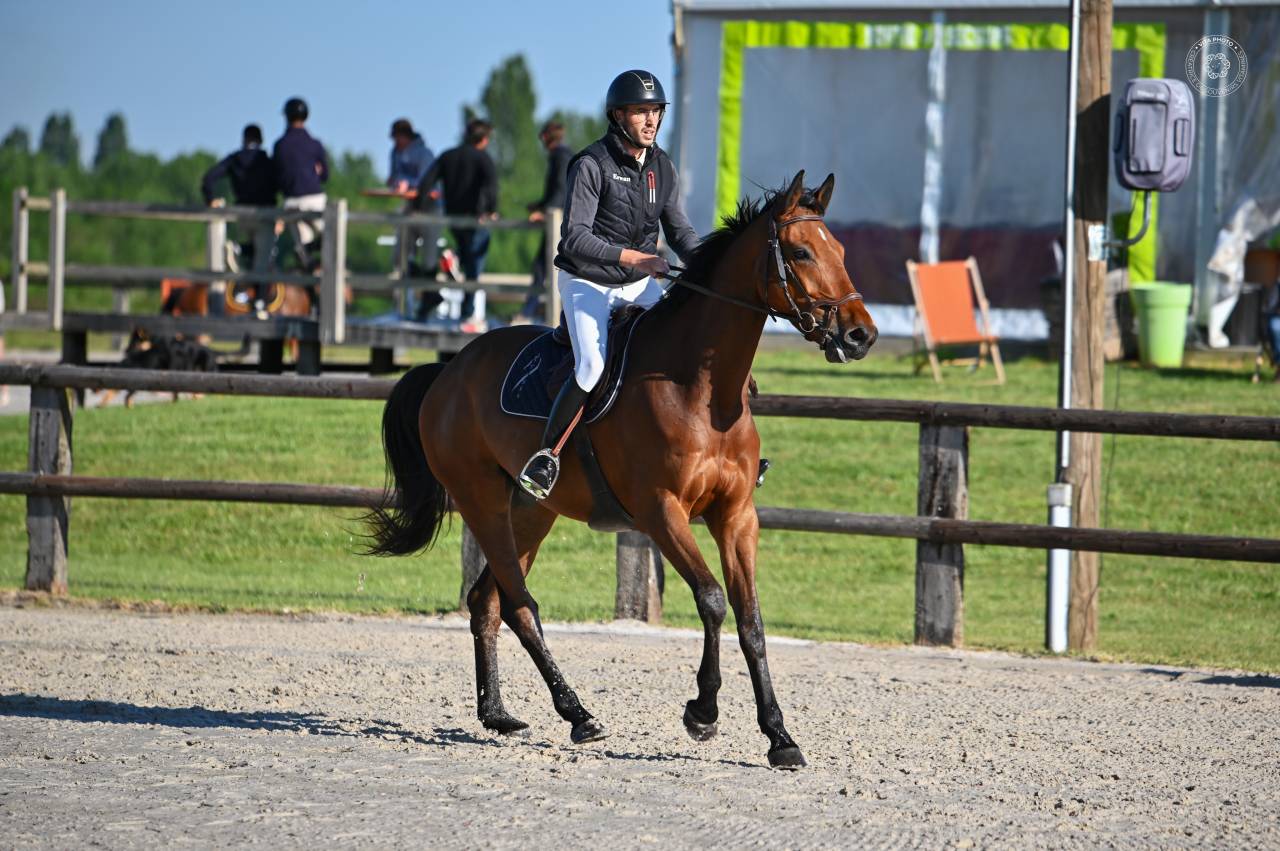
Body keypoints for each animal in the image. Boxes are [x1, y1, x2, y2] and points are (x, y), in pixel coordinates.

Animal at [364, 171, 877, 769]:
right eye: (799, 252)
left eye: (839, 251)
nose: (861, 335)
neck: (704, 391)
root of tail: (449, 371)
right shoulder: (660, 511)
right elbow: (711, 599)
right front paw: (702, 712)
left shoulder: (736, 516)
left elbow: (751, 620)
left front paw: (779, 736)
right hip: (482, 501)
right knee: (520, 603)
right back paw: (578, 714)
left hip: (532, 512)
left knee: (488, 601)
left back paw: (497, 714)